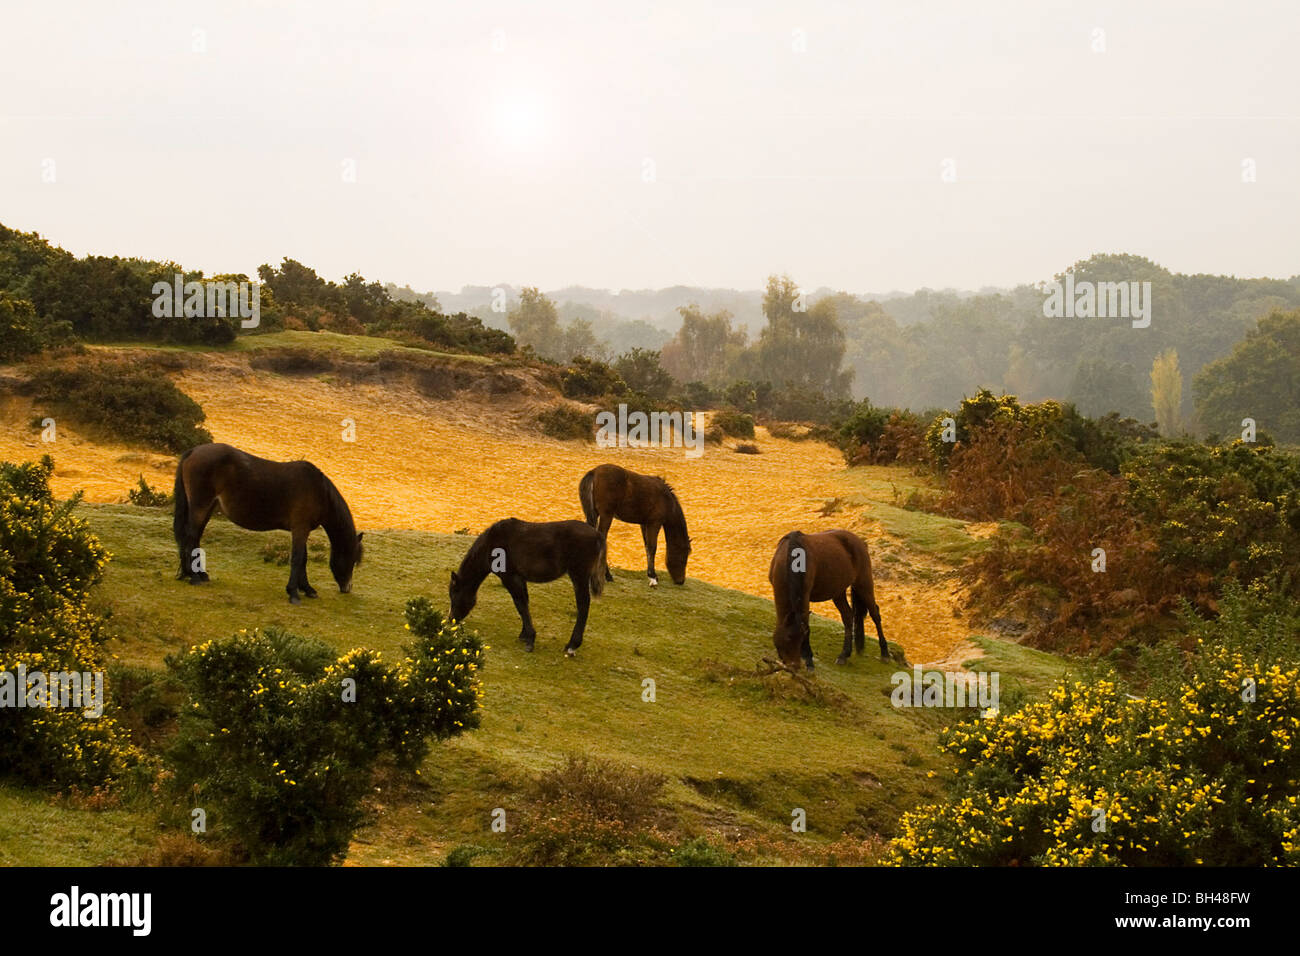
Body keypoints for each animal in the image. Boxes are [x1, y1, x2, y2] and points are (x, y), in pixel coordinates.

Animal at [172, 442, 364, 606]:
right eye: (352, 559)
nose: (348, 588)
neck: (319, 491)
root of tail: (194, 451)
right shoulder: (300, 528)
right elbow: (297, 558)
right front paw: (293, 593)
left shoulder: (303, 529)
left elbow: (303, 558)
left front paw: (307, 589)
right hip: (200, 506)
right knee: (191, 538)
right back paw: (194, 577)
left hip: (208, 508)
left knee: (195, 538)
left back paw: (200, 574)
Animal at [447, 515, 608, 658]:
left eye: (454, 595)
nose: (451, 620)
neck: (491, 544)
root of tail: (597, 535)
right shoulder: (520, 578)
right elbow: (524, 604)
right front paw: (524, 634)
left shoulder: (510, 578)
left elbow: (520, 604)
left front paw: (530, 639)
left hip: (579, 576)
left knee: (583, 606)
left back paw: (572, 645)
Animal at [764, 530, 889, 671]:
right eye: (788, 637)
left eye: (801, 639)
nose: (794, 666)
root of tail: (859, 541)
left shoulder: (805, 596)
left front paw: (809, 662)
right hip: (838, 592)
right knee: (848, 616)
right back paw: (844, 655)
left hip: (863, 584)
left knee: (875, 614)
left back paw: (885, 653)